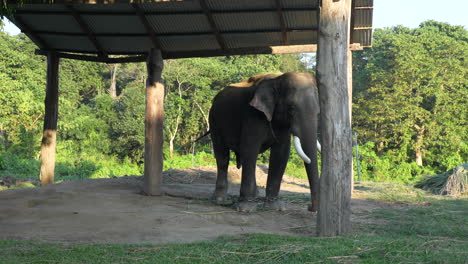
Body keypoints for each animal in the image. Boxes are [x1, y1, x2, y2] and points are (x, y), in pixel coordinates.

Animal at [209, 72, 322, 212]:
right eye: (291, 108)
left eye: (318, 111)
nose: (309, 207)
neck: (276, 79)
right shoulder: (252, 115)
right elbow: (249, 149)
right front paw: (246, 208)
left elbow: (281, 154)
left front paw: (275, 207)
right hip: (214, 120)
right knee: (222, 157)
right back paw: (220, 199)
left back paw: (255, 195)